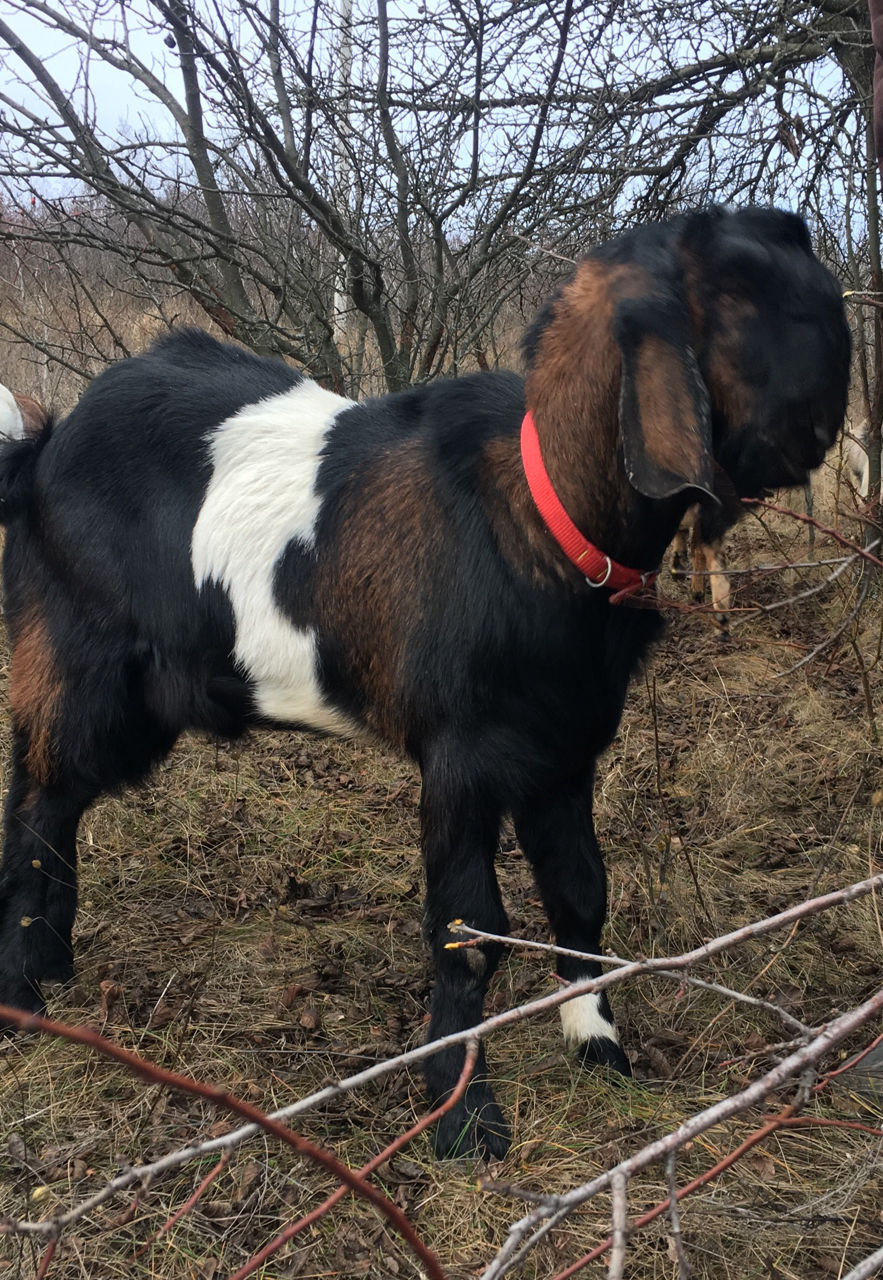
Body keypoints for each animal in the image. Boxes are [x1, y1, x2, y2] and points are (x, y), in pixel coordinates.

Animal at [0, 204, 844, 1157]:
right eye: (752, 308)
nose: (824, 431)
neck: (541, 514)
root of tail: (41, 449)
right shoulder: (460, 755)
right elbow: (468, 929)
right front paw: (462, 1115)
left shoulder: (563, 744)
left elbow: (581, 890)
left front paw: (596, 1044)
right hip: (74, 663)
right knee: (37, 810)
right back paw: (25, 998)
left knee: (59, 806)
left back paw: (57, 972)